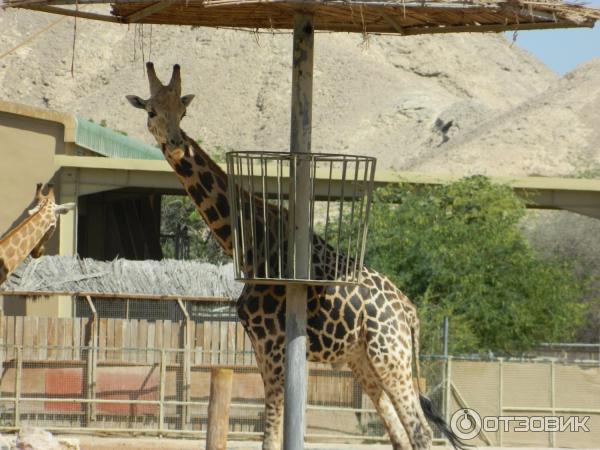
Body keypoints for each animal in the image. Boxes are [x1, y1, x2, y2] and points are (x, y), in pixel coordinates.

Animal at [126, 62, 464, 450]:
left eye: (182, 112)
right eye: (151, 111)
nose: (177, 145)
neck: (248, 246)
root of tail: (409, 313)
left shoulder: (273, 344)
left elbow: (271, 435)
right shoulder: (260, 346)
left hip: (390, 355)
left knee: (421, 430)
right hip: (362, 360)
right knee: (399, 434)